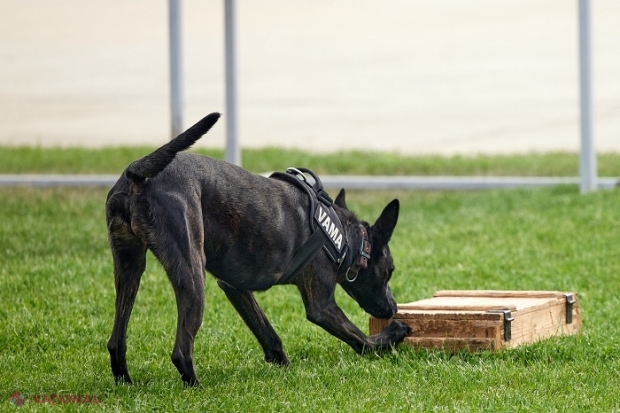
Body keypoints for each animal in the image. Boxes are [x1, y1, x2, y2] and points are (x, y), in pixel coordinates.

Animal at [106, 111, 410, 384]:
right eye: (390, 271)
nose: (394, 307)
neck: (343, 237)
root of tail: (137, 172)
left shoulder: (234, 287)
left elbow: (267, 332)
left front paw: (284, 366)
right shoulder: (322, 305)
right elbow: (361, 340)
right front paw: (392, 335)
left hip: (129, 268)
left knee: (116, 340)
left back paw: (126, 383)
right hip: (192, 276)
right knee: (181, 351)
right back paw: (195, 387)